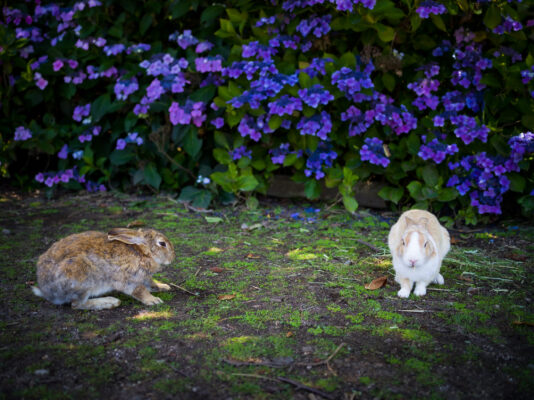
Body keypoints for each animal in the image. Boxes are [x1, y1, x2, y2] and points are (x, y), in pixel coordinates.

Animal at [31, 228, 176, 310]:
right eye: (162, 244)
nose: (172, 257)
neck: (141, 253)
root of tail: (46, 291)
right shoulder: (128, 279)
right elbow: (139, 291)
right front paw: (153, 300)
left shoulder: (144, 277)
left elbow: (151, 283)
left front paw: (164, 287)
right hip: (80, 277)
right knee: (77, 305)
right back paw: (110, 302)